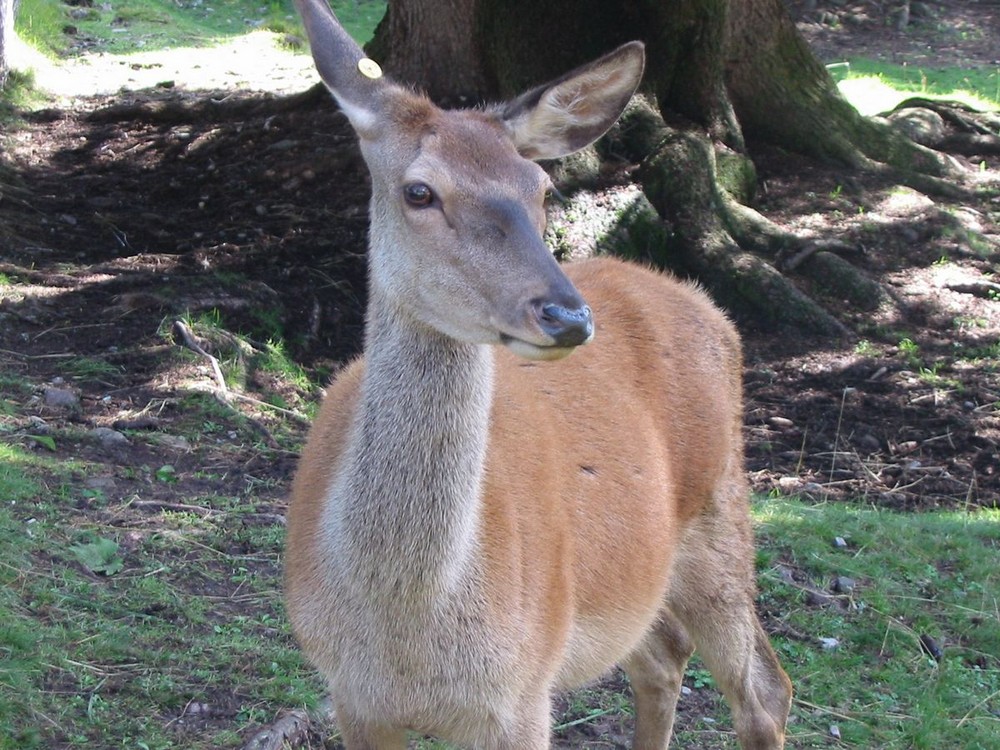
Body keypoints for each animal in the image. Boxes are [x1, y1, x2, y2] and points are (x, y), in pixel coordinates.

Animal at [286, 0, 792, 748]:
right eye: (419, 191)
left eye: (542, 187)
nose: (565, 316)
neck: (404, 626)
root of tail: (708, 306)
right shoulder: (351, 697)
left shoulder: (522, 693)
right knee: (664, 654)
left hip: (720, 510)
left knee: (763, 687)